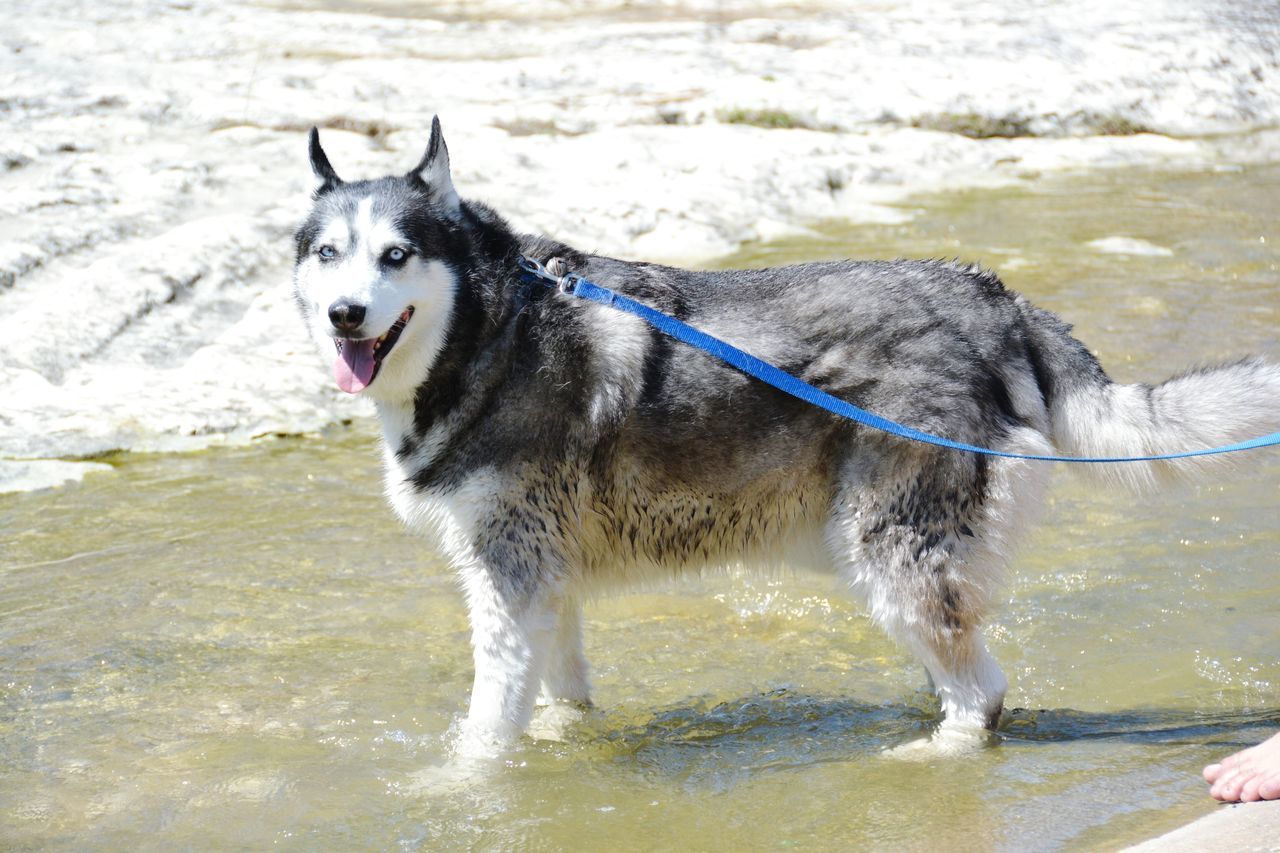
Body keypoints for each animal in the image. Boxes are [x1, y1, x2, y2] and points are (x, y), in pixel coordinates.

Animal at [294, 117, 1280, 753]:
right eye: (327, 254)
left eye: (396, 254)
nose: (346, 315)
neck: (492, 329)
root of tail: (992, 294)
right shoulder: (546, 579)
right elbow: (557, 699)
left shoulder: (510, 577)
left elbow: (486, 726)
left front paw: (459, 788)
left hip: (885, 551)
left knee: (984, 694)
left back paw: (933, 755)